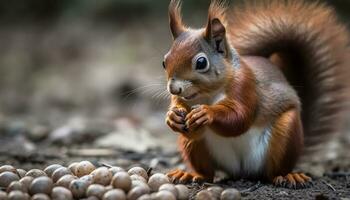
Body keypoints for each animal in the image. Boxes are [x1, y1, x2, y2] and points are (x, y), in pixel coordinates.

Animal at [163, 0, 348, 188]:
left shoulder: (245, 86)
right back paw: (191, 174)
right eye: (165, 61)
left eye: (201, 63)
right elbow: (185, 119)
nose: (174, 89)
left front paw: (207, 113)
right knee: (207, 172)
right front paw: (172, 117)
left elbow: (240, 118)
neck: (207, 94)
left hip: (286, 134)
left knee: (274, 170)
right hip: (195, 148)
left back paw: (287, 176)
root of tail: (242, 171)